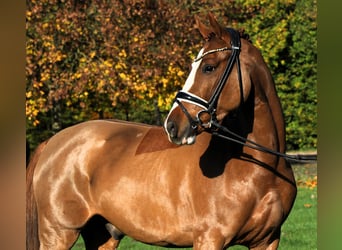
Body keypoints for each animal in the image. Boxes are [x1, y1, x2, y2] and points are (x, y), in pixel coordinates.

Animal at [26, 13, 296, 250]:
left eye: (208, 67)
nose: (173, 125)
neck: (259, 169)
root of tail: (54, 142)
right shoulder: (210, 239)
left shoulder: (267, 241)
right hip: (59, 235)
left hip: (102, 235)